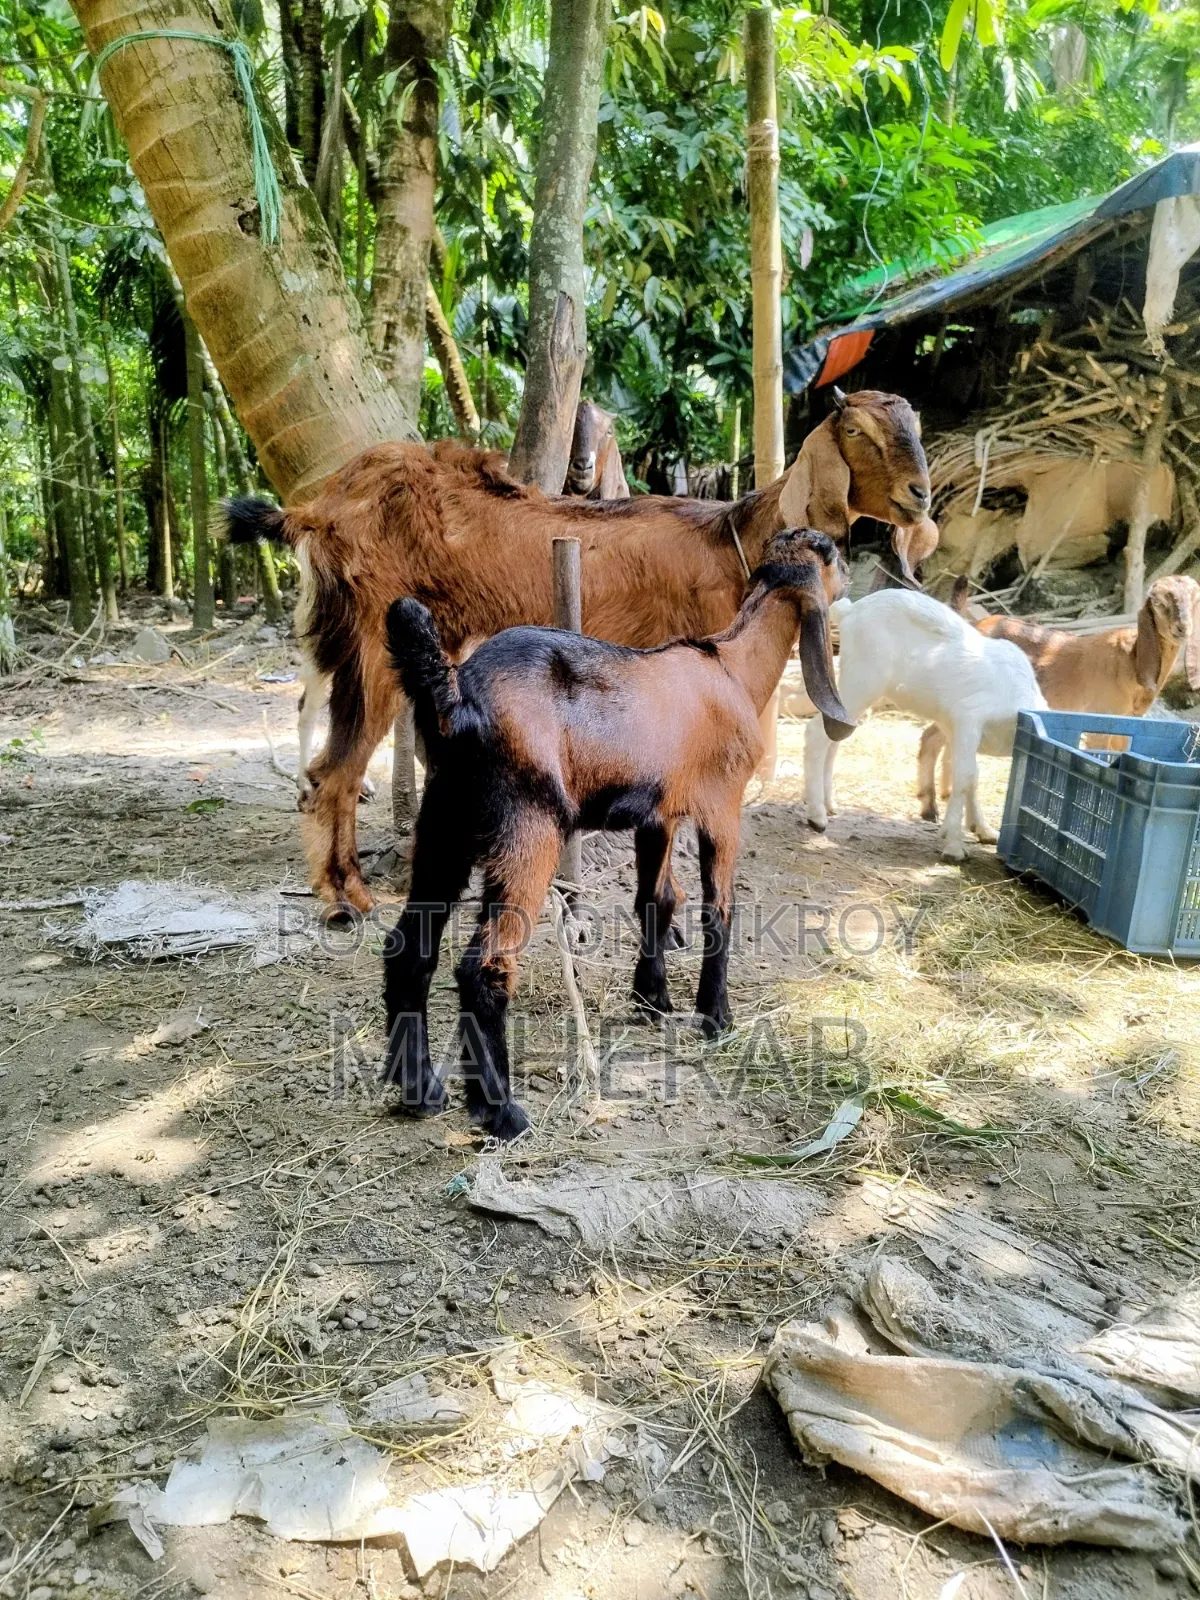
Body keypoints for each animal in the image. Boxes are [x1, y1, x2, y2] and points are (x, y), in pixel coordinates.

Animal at [225, 387, 929, 916]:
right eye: (857, 431)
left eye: (915, 425)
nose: (919, 494)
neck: (729, 539)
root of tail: (315, 508)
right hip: (371, 642)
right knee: (336, 770)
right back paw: (346, 898)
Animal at [380, 529, 852, 1139]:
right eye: (834, 555)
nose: (853, 578)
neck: (733, 669)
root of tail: (457, 698)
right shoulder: (722, 806)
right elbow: (718, 908)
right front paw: (715, 1016)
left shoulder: (658, 814)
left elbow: (657, 898)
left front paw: (652, 998)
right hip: (527, 829)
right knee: (483, 966)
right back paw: (500, 1111)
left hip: (444, 824)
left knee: (409, 948)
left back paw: (419, 1088)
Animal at [804, 589, 1047, 861]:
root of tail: (849, 611)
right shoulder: (969, 719)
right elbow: (965, 776)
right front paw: (954, 846)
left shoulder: (955, 729)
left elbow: (973, 776)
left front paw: (982, 830)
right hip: (863, 681)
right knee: (816, 732)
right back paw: (817, 816)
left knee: (834, 735)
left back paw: (829, 804)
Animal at [916, 575, 1200, 820]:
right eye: (1158, 601)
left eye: (1195, 598)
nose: (1182, 628)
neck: (1130, 662)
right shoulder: (1100, 721)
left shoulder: (1129, 726)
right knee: (931, 737)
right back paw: (930, 808)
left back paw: (945, 795)